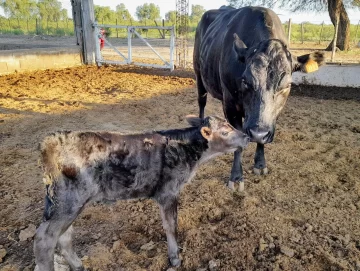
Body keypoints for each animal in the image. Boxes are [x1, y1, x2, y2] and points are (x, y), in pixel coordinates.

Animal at [33, 116, 249, 270]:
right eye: (224, 131)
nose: (247, 136)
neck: (184, 149)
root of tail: (50, 141)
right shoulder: (168, 192)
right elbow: (171, 226)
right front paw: (175, 258)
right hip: (69, 200)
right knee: (45, 239)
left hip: (66, 203)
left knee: (64, 235)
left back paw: (78, 266)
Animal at [194, 4, 324, 191]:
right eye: (245, 81)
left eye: (286, 85)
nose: (257, 132)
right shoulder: (231, 105)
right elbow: (238, 143)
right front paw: (236, 177)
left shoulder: (271, 118)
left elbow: (262, 138)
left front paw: (260, 164)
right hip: (198, 73)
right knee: (201, 101)